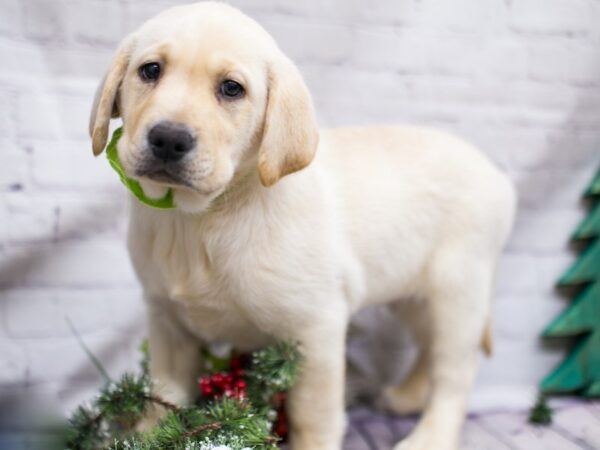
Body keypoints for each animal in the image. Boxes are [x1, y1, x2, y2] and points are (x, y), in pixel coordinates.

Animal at [88, 1, 516, 448]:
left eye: (231, 89)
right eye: (150, 70)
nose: (169, 139)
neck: (201, 218)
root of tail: (499, 177)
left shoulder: (317, 329)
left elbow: (313, 414)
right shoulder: (168, 324)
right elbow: (163, 395)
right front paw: (146, 436)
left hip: (457, 291)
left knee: (456, 372)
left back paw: (429, 435)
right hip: (412, 293)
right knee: (428, 346)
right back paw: (406, 396)